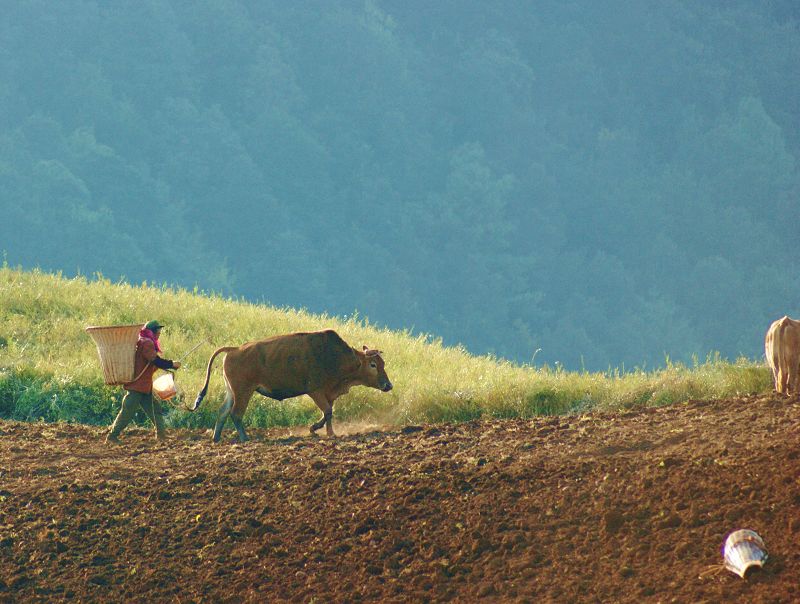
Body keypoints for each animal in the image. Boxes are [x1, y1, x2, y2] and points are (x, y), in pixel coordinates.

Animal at [194, 330, 394, 444]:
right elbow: (327, 411)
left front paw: (330, 433)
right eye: (373, 364)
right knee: (236, 414)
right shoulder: (316, 391)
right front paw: (314, 429)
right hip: (243, 392)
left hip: (232, 392)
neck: (336, 357)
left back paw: (216, 438)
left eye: (382, 363)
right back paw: (245, 439)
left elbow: (329, 413)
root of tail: (233, 349)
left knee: (223, 411)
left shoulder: (328, 394)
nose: (388, 385)